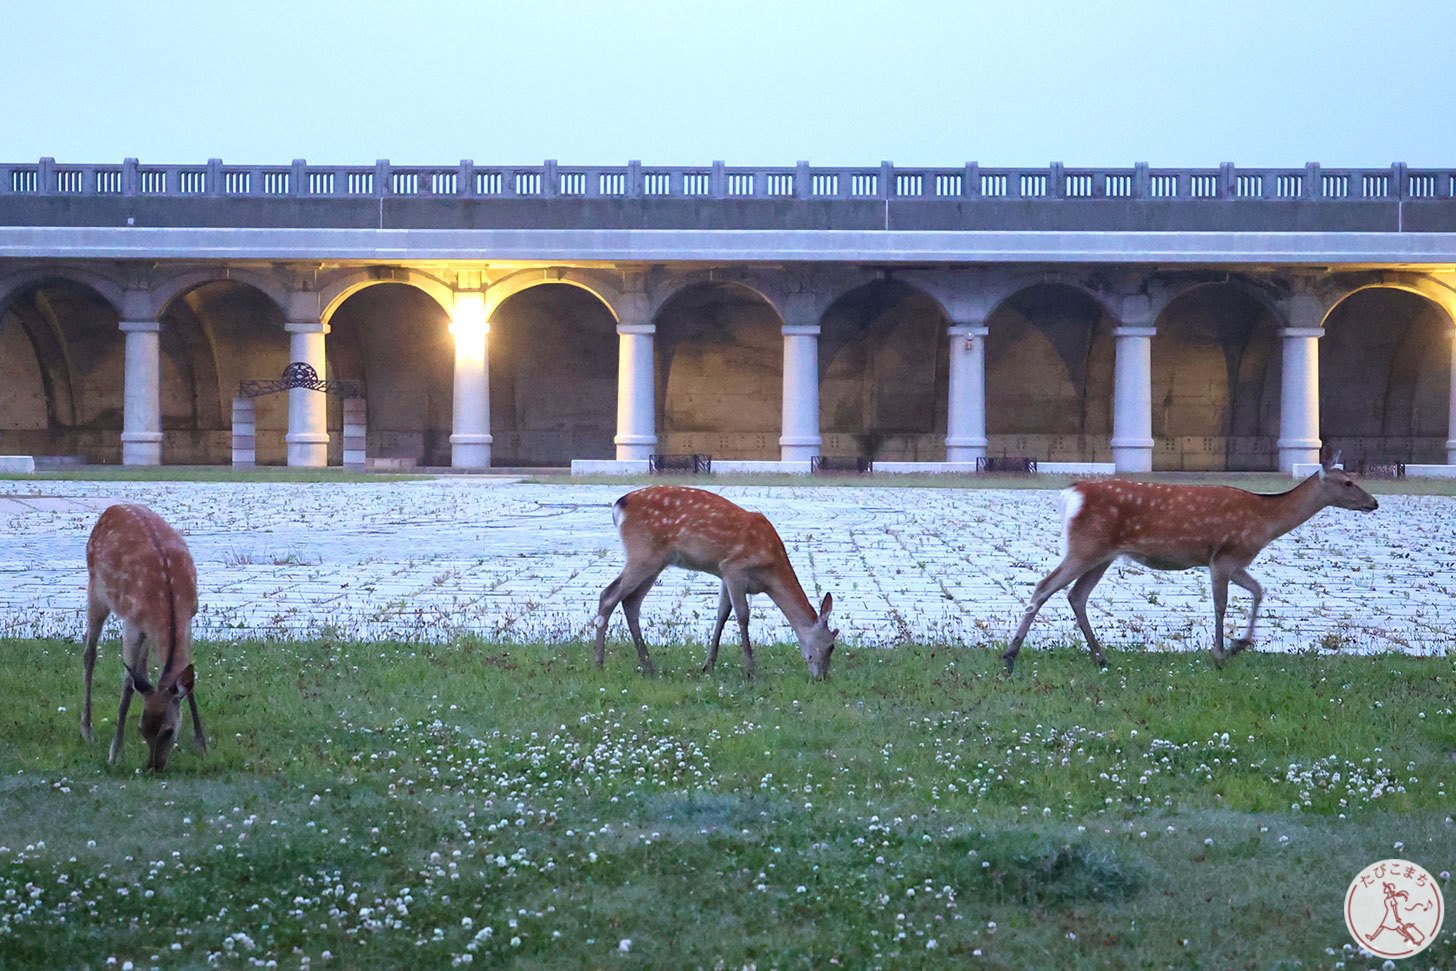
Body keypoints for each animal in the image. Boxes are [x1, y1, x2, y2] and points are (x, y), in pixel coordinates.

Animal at [81, 506, 205, 768]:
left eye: (169, 730)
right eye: (142, 729)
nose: (153, 766)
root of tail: (111, 508)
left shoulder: (189, 617)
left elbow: (188, 677)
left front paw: (201, 745)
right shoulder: (132, 622)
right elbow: (127, 684)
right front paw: (114, 753)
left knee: (144, 668)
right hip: (95, 588)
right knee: (90, 653)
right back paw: (86, 730)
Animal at [591, 486, 844, 684]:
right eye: (831, 646)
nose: (823, 676)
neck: (770, 571)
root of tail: (619, 505)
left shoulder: (723, 574)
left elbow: (722, 613)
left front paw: (708, 666)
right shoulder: (734, 568)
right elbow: (742, 615)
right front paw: (751, 671)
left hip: (655, 561)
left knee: (631, 601)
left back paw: (648, 666)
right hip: (643, 553)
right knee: (609, 594)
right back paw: (599, 663)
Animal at [1001, 451, 1374, 672]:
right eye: (1348, 482)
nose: (1374, 503)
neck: (1266, 520)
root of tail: (1071, 494)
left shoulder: (1235, 561)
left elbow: (1258, 591)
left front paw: (1240, 644)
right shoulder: (1223, 556)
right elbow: (1221, 604)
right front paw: (1221, 653)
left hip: (1102, 555)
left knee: (1076, 595)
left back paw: (1100, 655)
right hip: (1084, 546)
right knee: (1044, 586)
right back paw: (1011, 654)